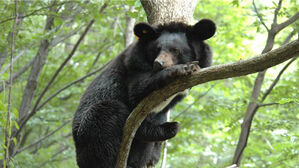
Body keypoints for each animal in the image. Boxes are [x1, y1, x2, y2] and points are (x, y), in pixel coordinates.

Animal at [73, 19, 217, 167]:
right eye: (156, 49)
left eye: (176, 50)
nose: (159, 63)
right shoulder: (133, 65)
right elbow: (137, 90)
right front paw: (183, 68)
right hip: (87, 134)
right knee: (107, 115)